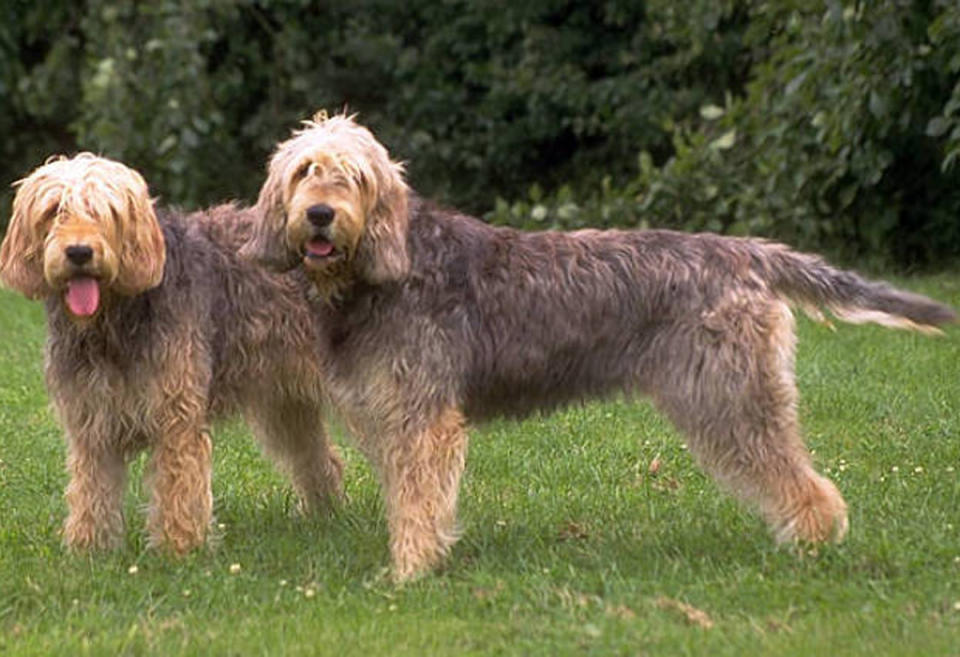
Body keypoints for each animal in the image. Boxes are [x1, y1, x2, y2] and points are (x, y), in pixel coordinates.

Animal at [0, 154, 344, 552]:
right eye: (54, 210)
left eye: (107, 211)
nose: (80, 252)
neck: (112, 320)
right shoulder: (92, 422)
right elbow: (91, 491)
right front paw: (89, 549)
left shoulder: (175, 417)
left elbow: (178, 490)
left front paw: (180, 550)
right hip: (285, 404)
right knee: (321, 459)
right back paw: (323, 515)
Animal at [242, 113, 952, 580]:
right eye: (306, 171)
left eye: (354, 177)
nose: (320, 215)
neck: (382, 269)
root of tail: (746, 252)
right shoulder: (395, 418)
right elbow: (411, 495)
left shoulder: (424, 420)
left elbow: (418, 499)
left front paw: (410, 573)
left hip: (732, 399)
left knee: (807, 484)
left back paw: (811, 546)